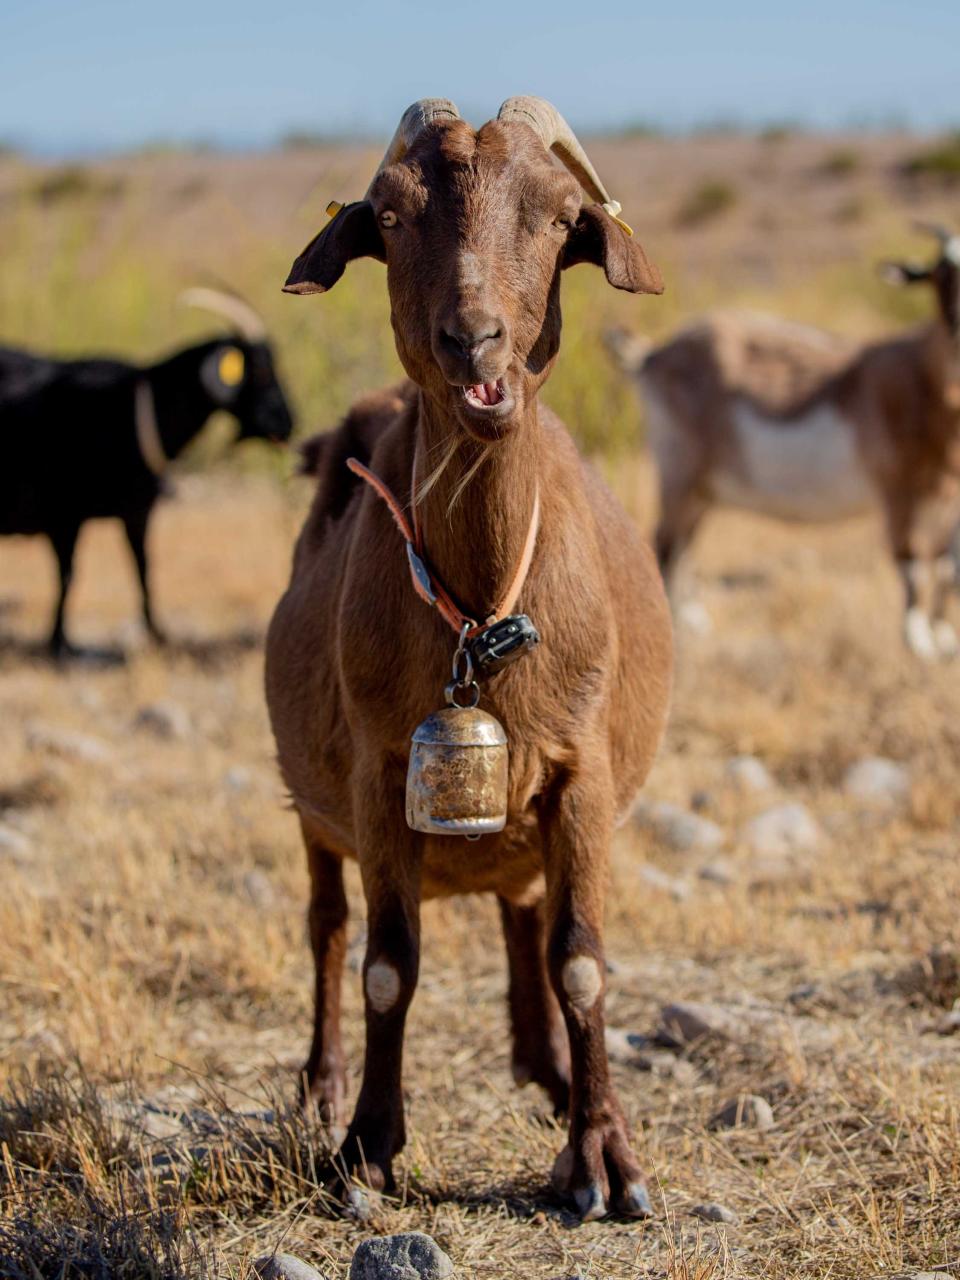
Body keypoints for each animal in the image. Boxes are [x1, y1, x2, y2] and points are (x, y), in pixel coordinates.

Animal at [0, 288, 293, 650]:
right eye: (262, 370)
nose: (287, 422)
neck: (141, 411)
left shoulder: (138, 513)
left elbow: (143, 568)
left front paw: (157, 633)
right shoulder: (64, 516)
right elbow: (68, 575)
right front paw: (58, 641)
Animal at [264, 94, 675, 1213]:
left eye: (560, 216)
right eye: (391, 216)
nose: (473, 338)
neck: (483, 601)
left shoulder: (582, 771)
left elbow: (581, 961)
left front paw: (604, 1160)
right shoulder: (376, 776)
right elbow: (386, 964)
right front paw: (366, 1144)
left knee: (522, 915)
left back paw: (549, 1071)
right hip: (310, 806)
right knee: (324, 924)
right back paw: (322, 1082)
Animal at [611, 222, 960, 660]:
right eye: (940, 276)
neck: (922, 376)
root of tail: (651, 357)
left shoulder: (947, 494)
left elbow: (945, 563)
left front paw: (944, 636)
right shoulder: (897, 488)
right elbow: (911, 558)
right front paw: (917, 642)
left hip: (703, 488)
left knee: (686, 541)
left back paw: (693, 618)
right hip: (679, 470)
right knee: (668, 540)